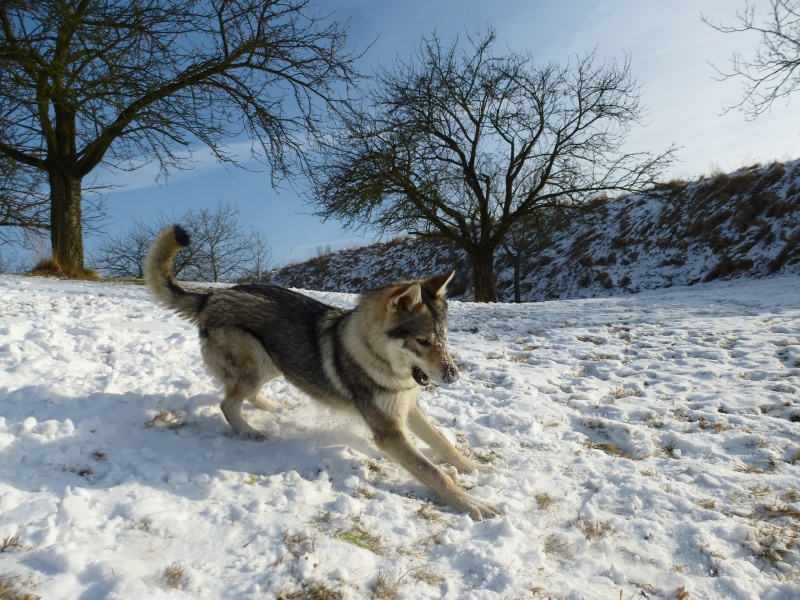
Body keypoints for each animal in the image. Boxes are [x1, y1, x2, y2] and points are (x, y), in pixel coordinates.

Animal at [145, 227, 500, 516]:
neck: (378, 360)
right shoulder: (389, 431)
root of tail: (211, 295)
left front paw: (475, 469)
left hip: (276, 363)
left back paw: (274, 408)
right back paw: (249, 431)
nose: (454, 376)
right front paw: (472, 504)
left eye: (444, 338)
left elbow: (444, 444)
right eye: (423, 341)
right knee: (227, 403)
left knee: (245, 396)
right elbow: (432, 472)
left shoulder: (407, 408)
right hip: (258, 361)